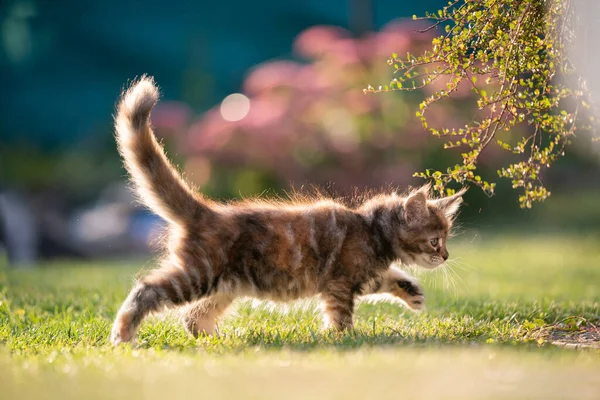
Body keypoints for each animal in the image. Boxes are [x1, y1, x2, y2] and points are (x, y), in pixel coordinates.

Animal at [109, 75, 464, 344]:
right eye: (435, 241)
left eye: (446, 241)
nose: (446, 256)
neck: (372, 230)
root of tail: (208, 211)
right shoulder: (340, 283)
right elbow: (341, 315)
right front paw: (344, 339)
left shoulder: (363, 277)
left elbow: (387, 278)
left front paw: (412, 292)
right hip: (198, 274)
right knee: (147, 291)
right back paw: (123, 335)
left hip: (226, 285)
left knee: (193, 317)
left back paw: (221, 339)